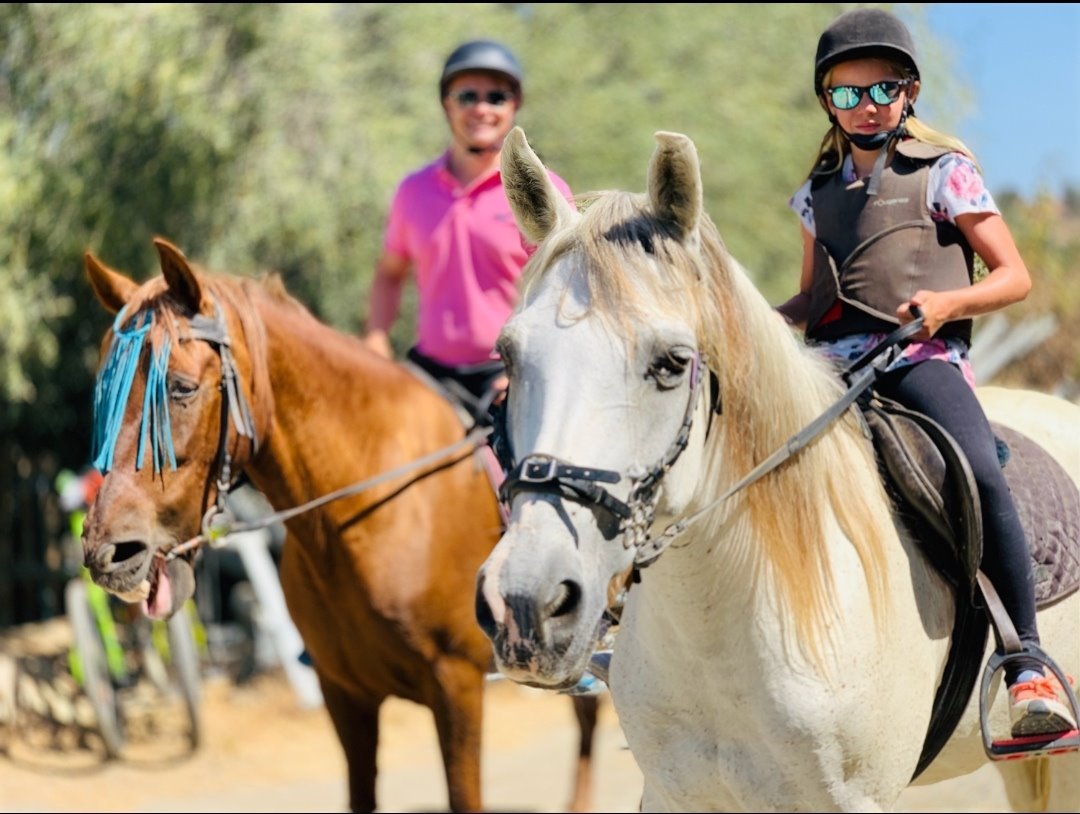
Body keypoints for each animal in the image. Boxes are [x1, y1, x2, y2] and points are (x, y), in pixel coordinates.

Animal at [79, 236, 604, 811]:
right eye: (103, 394)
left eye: (181, 388)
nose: (108, 553)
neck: (366, 513)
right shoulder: (345, 696)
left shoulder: (458, 687)